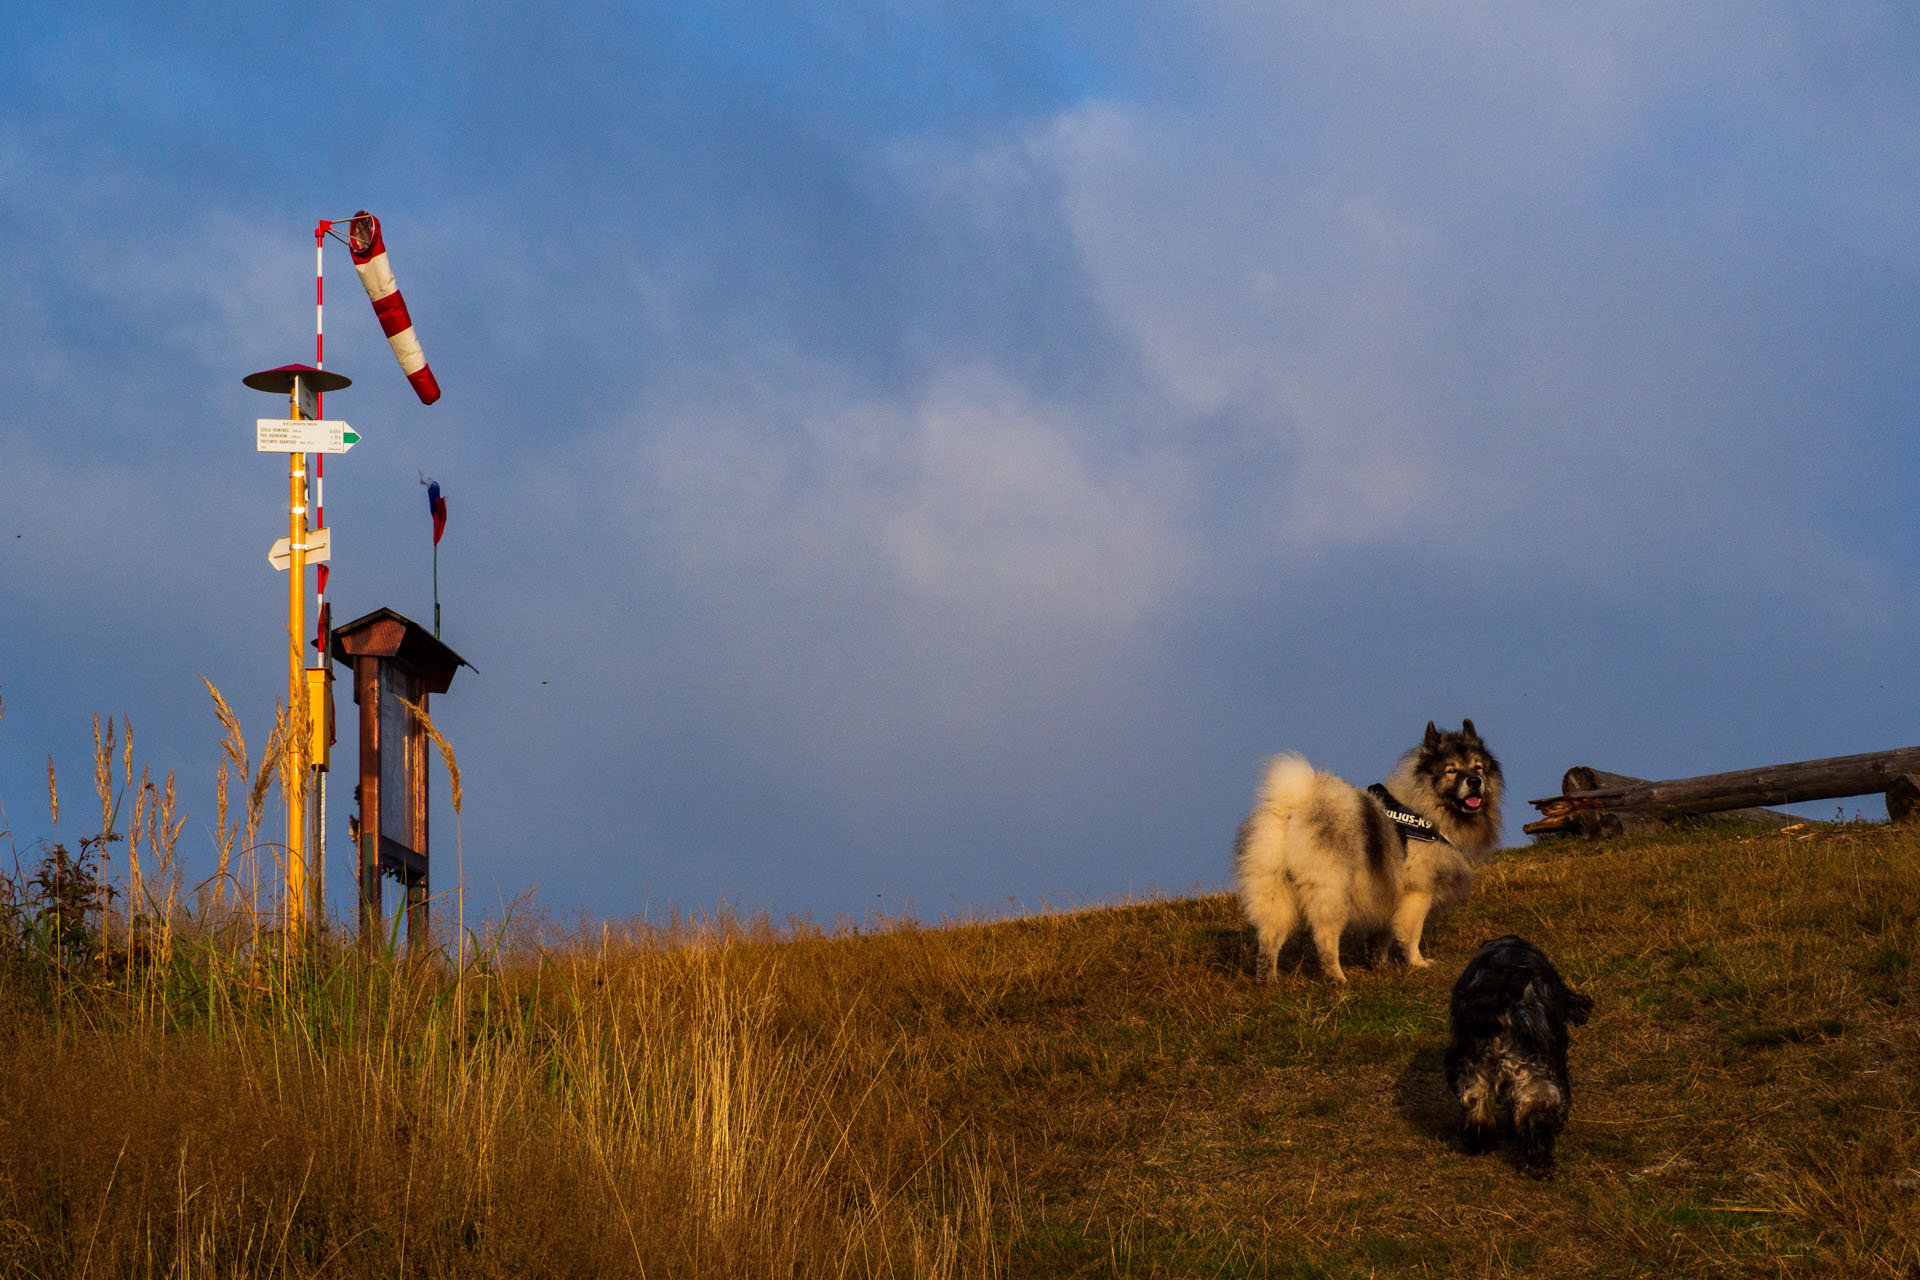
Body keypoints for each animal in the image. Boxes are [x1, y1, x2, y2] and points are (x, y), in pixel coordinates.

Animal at [1228, 721, 1497, 982]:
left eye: (1478, 767)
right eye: (1451, 770)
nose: (1475, 781)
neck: (1425, 809)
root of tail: (1294, 807)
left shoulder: (1386, 892)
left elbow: (1381, 935)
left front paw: (1378, 965)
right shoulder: (1417, 892)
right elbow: (1410, 934)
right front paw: (1417, 963)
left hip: (1274, 890)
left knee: (1269, 938)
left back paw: (1268, 981)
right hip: (1332, 891)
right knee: (1325, 938)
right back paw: (1336, 979)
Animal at [1443, 936, 1597, 1174]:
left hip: (1474, 1072)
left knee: (1477, 1111)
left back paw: (1480, 1144)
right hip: (1534, 1076)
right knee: (1535, 1119)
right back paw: (1541, 1164)